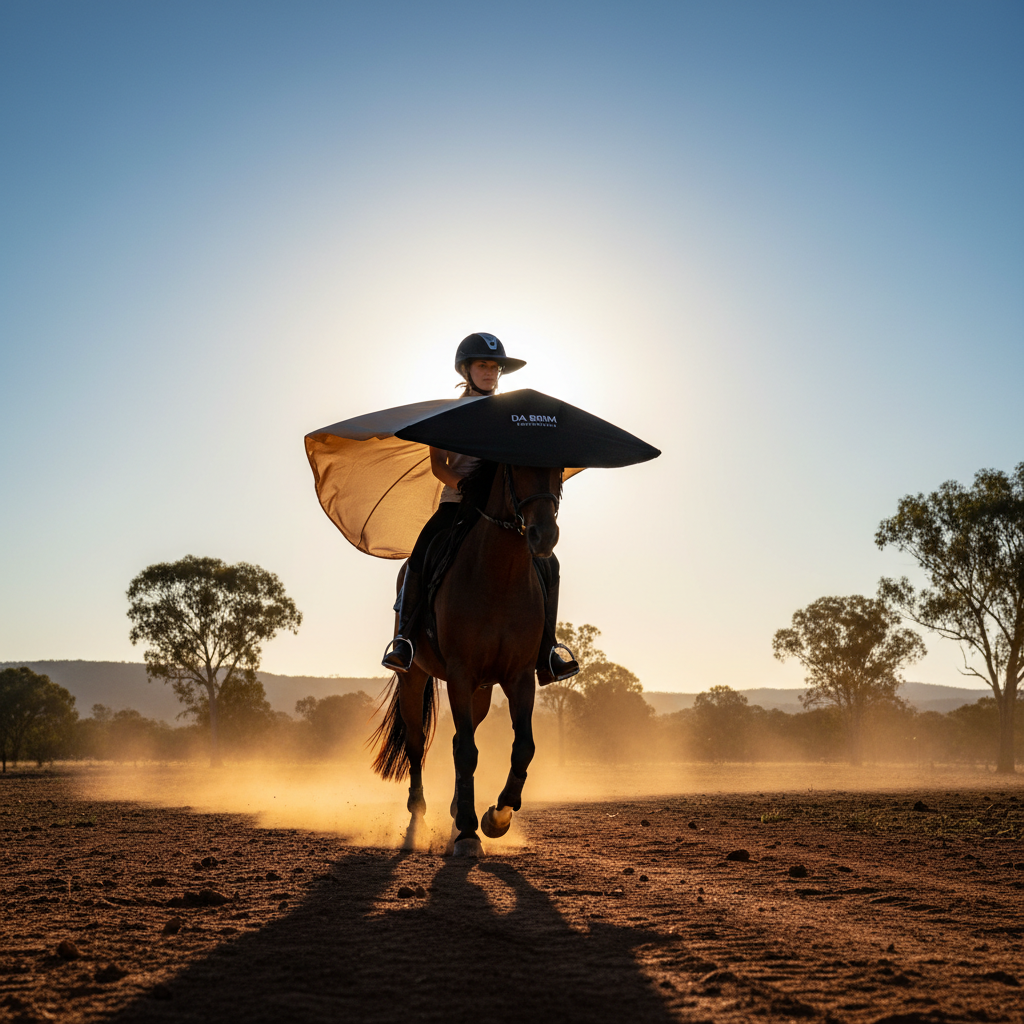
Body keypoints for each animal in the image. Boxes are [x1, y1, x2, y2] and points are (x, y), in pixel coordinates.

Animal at [369, 460, 563, 857]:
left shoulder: (520, 677)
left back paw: (459, 810)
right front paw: (469, 834)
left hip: (482, 692)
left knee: (461, 737)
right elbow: (467, 754)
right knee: (417, 744)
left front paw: (496, 818)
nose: (544, 536)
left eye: (559, 470)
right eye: (518, 469)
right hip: (415, 678)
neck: (500, 574)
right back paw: (419, 819)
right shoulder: (460, 674)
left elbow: (523, 747)